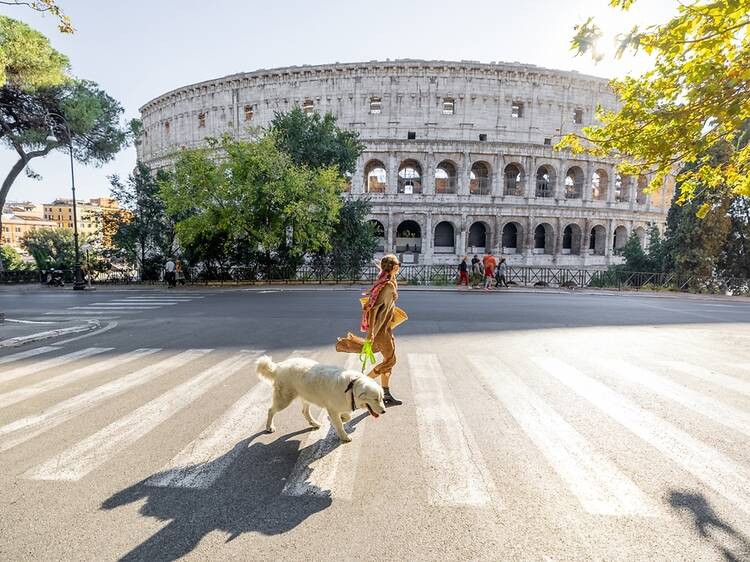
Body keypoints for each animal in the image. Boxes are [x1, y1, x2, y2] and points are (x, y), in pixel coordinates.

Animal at [258, 354, 388, 442]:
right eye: (375, 399)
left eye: (382, 398)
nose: (384, 411)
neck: (351, 386)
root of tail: (279, 366)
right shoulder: (332, 409)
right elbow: (339, 425)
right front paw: (344, 436)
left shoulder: (340, 406)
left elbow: (347, 416)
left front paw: (341, 418)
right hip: (284, 400)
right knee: (271, 410)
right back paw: (269, 427)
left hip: (306, 395)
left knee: (304, 411)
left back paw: (314, 423)